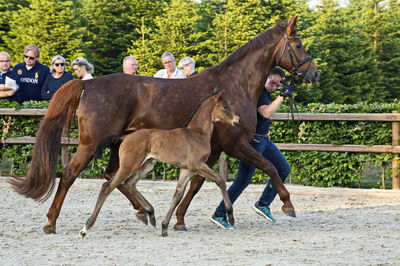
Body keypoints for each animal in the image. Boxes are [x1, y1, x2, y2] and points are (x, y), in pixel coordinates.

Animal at [79, 90, 239, 237]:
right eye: (225, 107)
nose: (237, 121)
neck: (197, 134)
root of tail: (125, 136)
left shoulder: (187, 170)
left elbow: (177, 195)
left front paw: (164, 227)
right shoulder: (197, 165)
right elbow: (220, 180)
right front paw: (230, 217)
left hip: (147, 164)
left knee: (129, 183)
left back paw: (151, 214)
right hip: (129, 165)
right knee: (108, 186)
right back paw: (85, 228)